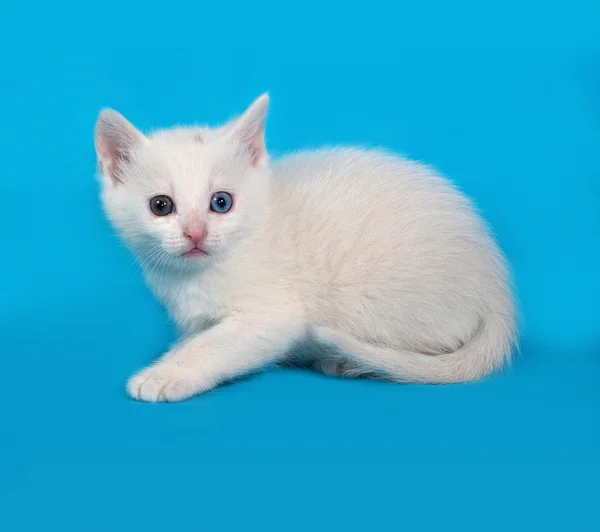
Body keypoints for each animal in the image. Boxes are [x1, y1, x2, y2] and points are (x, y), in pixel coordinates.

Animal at [94, 94, 516, 404]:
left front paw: (165, 374)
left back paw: (344, 362)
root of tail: (497, 288)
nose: (196, 233)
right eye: (161, 206)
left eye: (221, 202)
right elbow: (197, 337)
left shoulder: (272, 316)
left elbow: (214, 345)